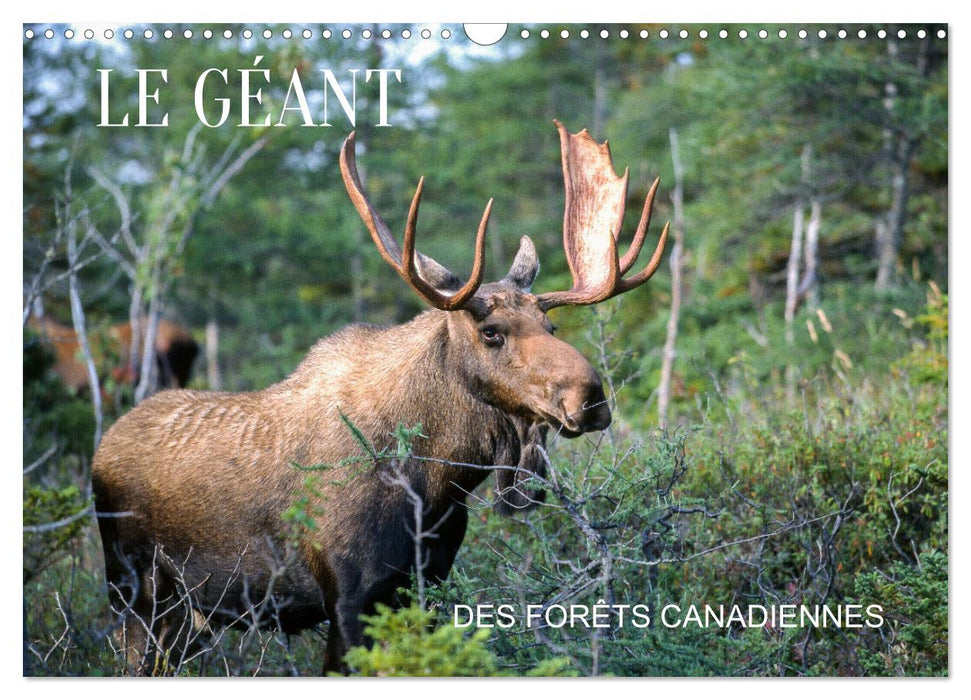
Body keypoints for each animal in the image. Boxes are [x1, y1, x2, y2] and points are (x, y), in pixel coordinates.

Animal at [91, 121, 668, 672]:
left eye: (551, 326)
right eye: (492, 333)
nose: (590, 396)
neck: (438, 481)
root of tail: (101, 450)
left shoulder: (424, 588)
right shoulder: (347, 596)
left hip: (191, 615)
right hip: (135, 594)